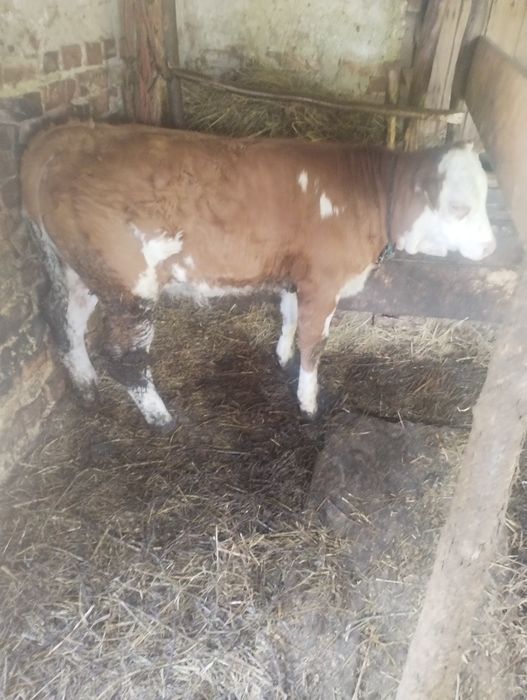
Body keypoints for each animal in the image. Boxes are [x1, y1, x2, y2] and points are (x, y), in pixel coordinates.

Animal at [21, 122, 495, 429]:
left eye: (486, 195)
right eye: (458, 206)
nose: (491, 247)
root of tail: (66, 135)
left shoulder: (294, 275)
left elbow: (288, 316)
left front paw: (281, 357)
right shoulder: (323, 283)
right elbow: (314, 343)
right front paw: (308, 402)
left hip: (81, 272)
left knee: (67, 322)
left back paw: (86, 388)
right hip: (128, 286)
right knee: (125, 356)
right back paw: (160, 417)